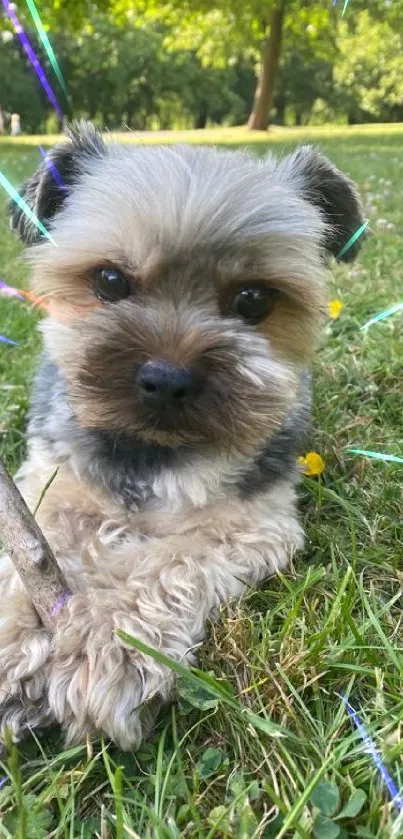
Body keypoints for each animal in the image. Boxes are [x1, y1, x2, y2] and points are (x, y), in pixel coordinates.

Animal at [0, 124, 364, 748]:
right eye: (110, 280)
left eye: (253, 299)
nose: (167, 380)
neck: (152, 453)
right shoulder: (52, 486)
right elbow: (38, 554)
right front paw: (19, 637)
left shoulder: (249, 523)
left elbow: (162, 563)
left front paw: (104, 644)